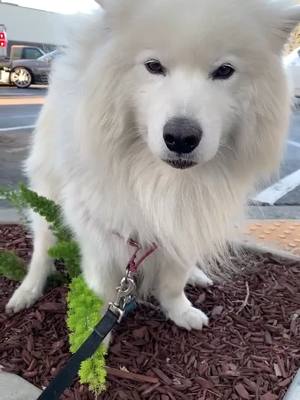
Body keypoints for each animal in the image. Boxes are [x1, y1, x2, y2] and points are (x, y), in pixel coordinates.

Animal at [5, 0, 300, 332]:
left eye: (224, 71)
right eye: (154, 66)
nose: (181, 137)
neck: (161, 179)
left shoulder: (187, 217)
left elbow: (174, 279)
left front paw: (180, 311)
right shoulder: (99, 230)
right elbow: (102, 289)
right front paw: (96, 336)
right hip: (47, 190)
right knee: (42, 248)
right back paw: (27, 290)